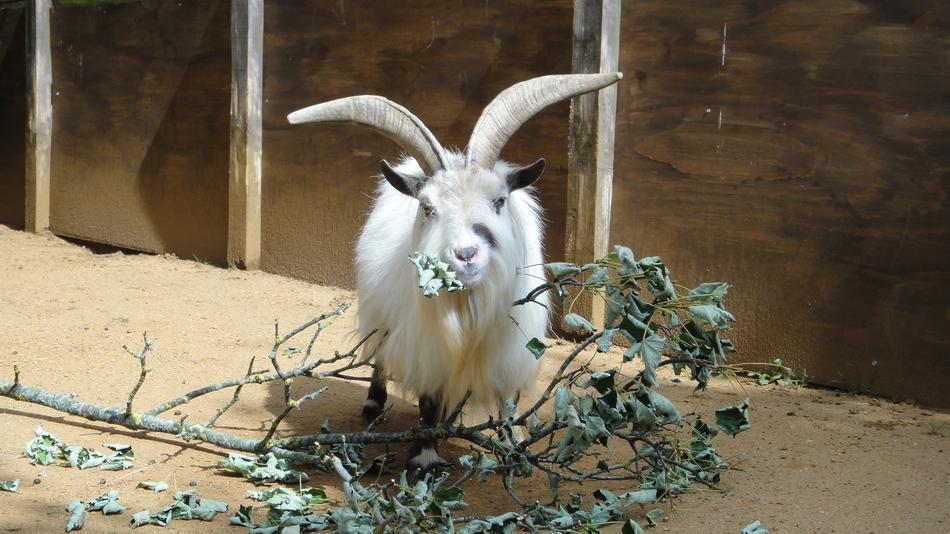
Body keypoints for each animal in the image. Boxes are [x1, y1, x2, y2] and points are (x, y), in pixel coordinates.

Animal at [288, 73, 623, 474]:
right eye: (428, 208)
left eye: (499, 200)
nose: (465, 254)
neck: (469, 305)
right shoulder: (427, 344)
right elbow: (429, 402)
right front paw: (424, 458)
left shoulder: (512, 347)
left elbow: (509, 399)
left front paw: (515, 446)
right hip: (380, 315)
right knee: (381, 356)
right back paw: (373, 404)